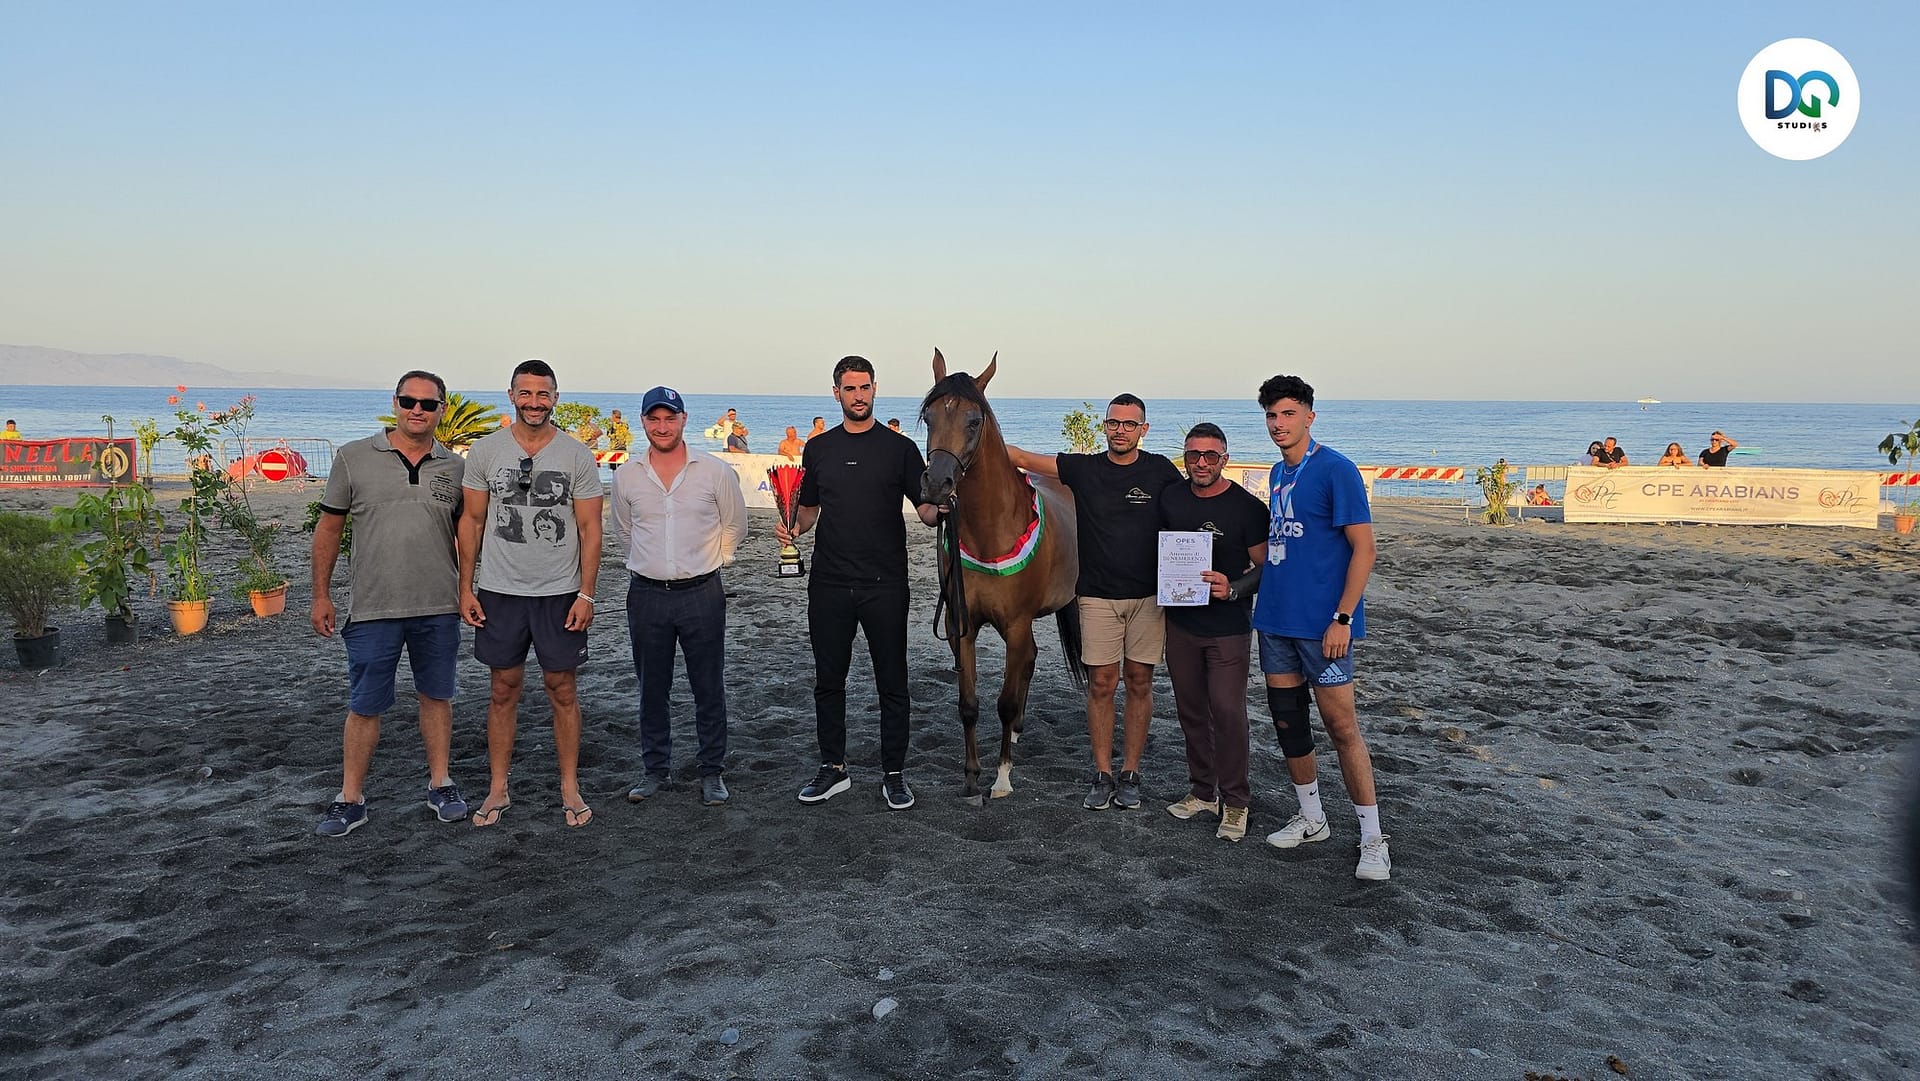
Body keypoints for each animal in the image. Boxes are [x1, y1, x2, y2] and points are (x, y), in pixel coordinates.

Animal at [920, 350, 1086, 803]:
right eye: (928, 417)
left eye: (974, 421)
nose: (936, 484)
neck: (991, 534)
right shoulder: (961, 626)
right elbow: (970, 704)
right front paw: (971, 776)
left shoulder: (1015, 625)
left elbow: (1005, 702)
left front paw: (1002, 778)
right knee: (1030, 662)